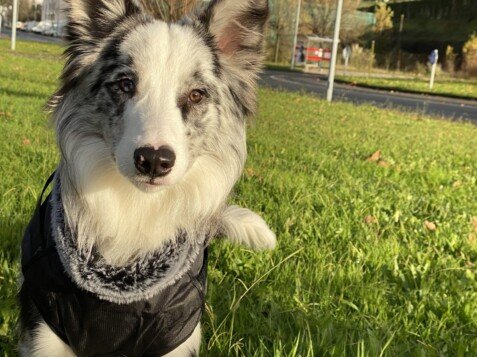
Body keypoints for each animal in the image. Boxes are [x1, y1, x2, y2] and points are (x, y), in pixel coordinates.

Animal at [18, 0, 278, 354]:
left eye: (196, 95)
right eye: (125, 84)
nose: (154, 161)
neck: (137, 210)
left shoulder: (174, 333)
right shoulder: (46, 327)